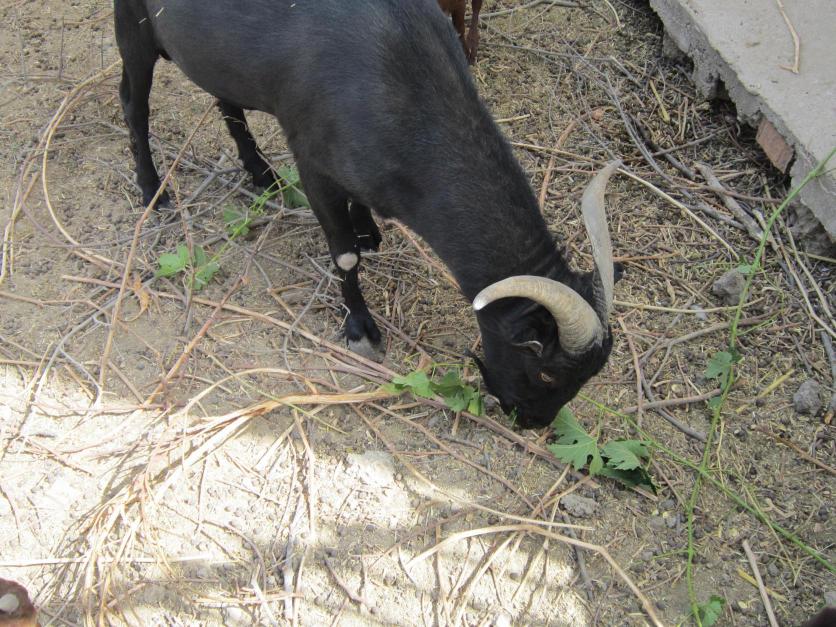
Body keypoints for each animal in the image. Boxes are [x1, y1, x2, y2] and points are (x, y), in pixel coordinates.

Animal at [115, 0, 620, 428]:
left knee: (226, 98)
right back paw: (153, 189)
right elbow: (343, 256)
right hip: (133, 28)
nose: (534, 422)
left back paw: (260, 172)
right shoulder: (312, 162)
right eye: (547, 372)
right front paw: (360, 328)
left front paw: (368, 230)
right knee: (133, 103)